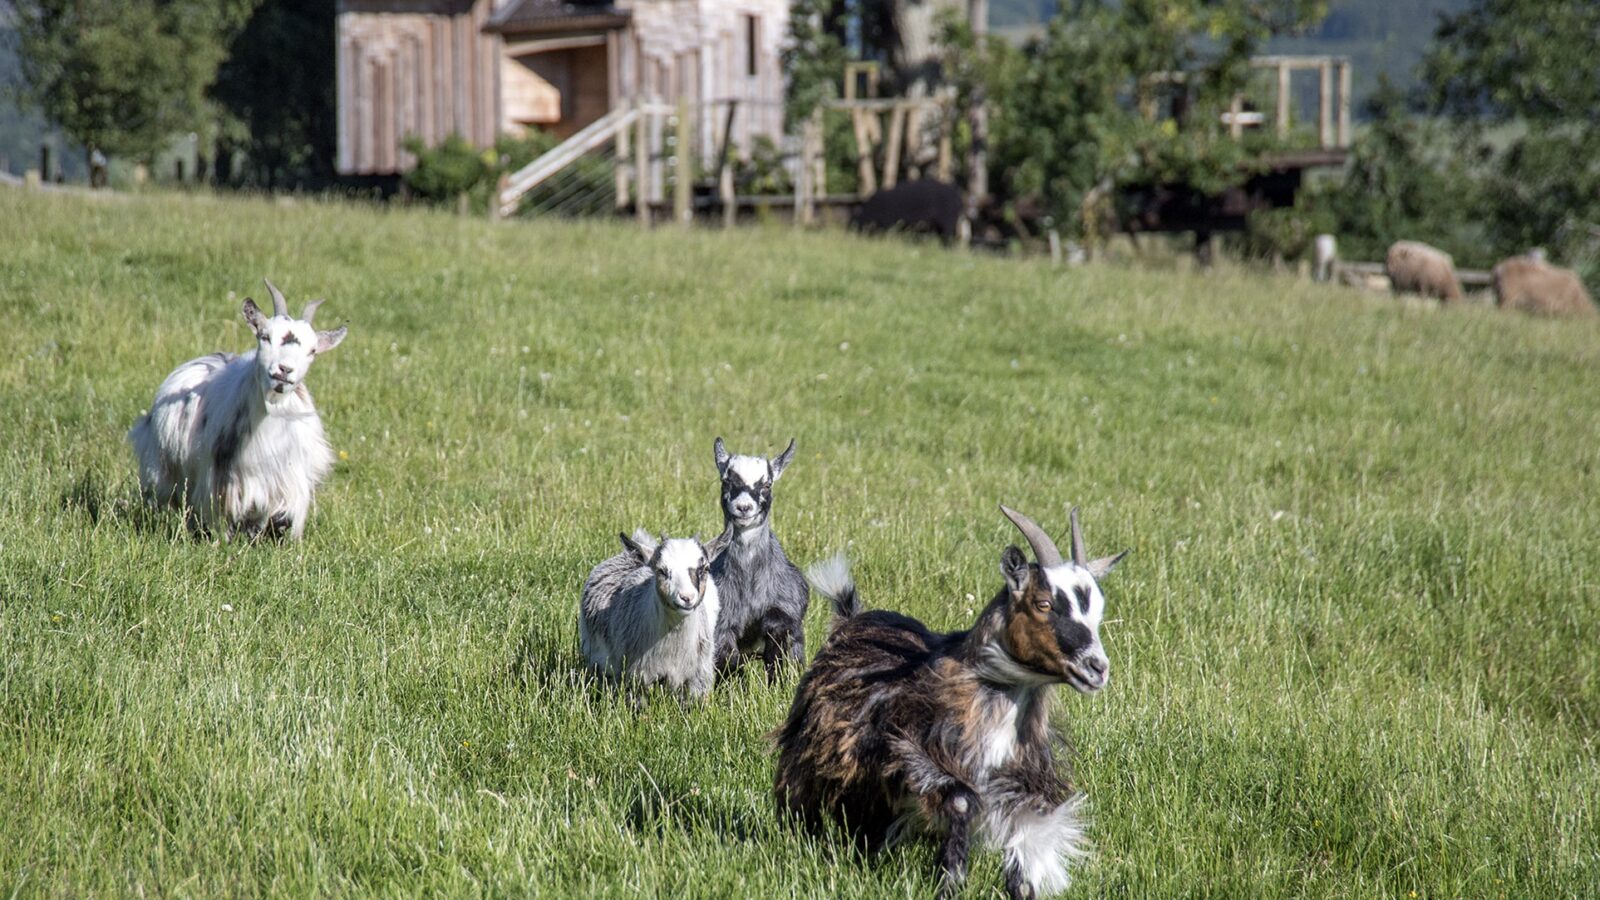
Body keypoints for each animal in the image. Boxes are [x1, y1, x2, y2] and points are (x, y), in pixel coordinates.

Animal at [128, 277, 347, 534]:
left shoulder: (287, 483)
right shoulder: (222, 483)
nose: (284, 370)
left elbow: (279, 521)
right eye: (265, 336)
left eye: (312, 351)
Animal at [713, 435, 812, 679]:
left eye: (767, 485)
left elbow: (776, 652)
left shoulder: (786, 612)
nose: (743, 507)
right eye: (726, 481)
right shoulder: (722, 625)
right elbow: (728, 663)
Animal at [771, 499, 1126, 890]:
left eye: (1097, 610)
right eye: (1043, 603)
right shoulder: (910, 753)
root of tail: (851, 618)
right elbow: (960, 802)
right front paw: (951, 879)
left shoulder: (1023, 779)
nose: (1096, 668)